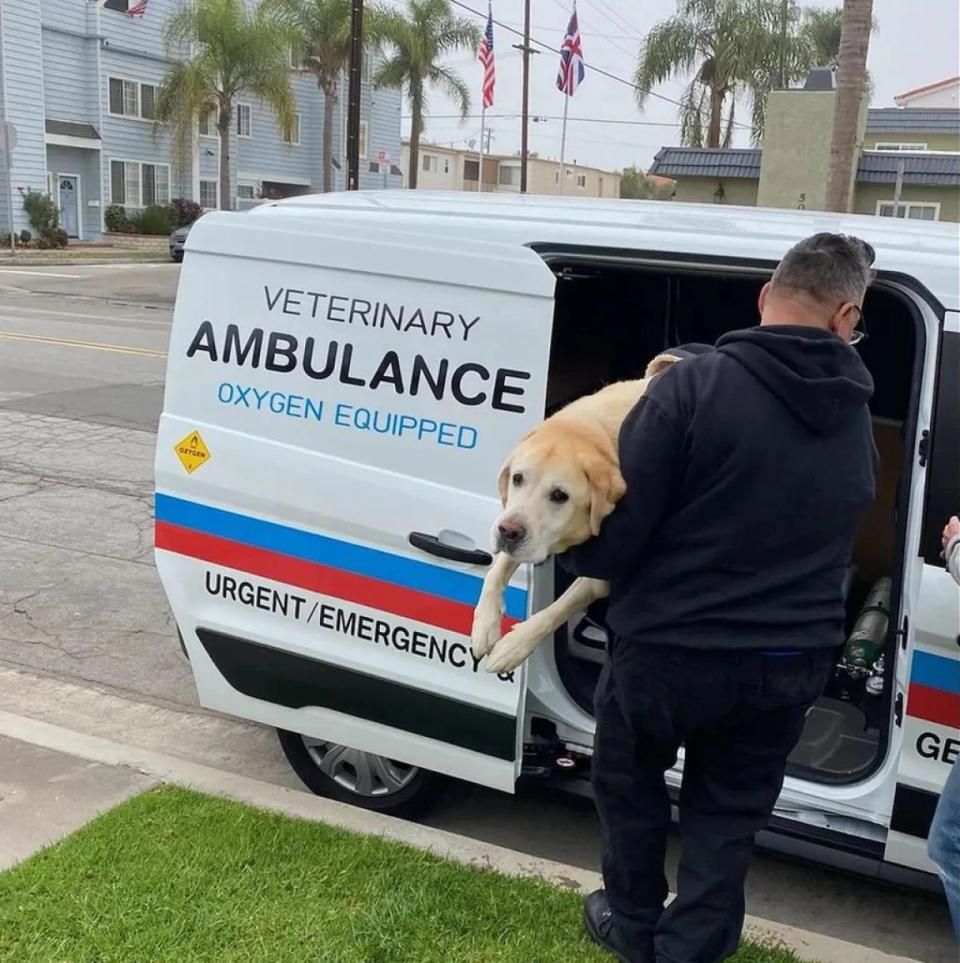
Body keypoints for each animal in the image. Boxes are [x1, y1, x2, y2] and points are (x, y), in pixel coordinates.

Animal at [470, 350, 684, 676]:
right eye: (518, 478)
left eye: (560, 496)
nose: (508, 532)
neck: (593, 435)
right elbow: (496, 570)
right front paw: (485, 624)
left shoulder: (602, 571)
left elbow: (557, 609)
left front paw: (513, 646)